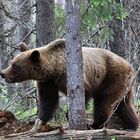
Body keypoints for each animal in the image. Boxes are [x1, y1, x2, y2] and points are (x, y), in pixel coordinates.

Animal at [0, 38, 139, 131]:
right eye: (12, 62)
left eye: (15, 65)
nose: (3, 73)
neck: (53, 69)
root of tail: (130, 66)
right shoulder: (47, 81)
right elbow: (48, 99)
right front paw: (40, 119)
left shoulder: (67, 75)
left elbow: (84, 91)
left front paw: (69, 114)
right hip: (125, 85)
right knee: (124, 105)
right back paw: (132, 125)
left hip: (112, 77)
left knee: (104, 102)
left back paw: (95, 125)